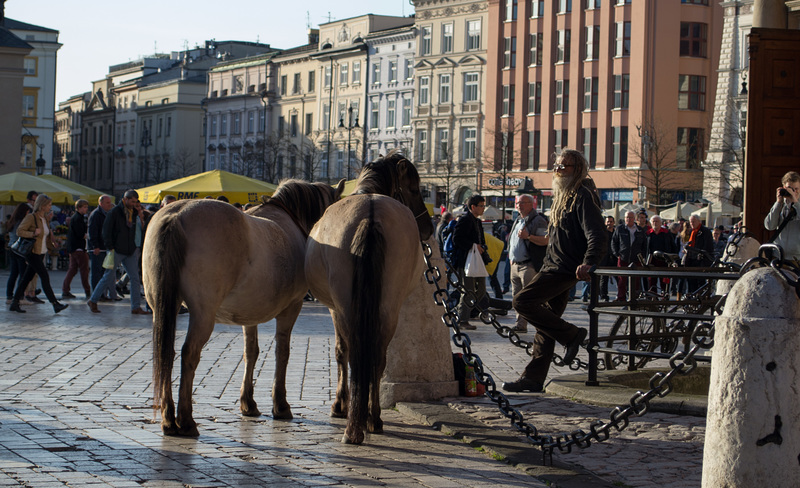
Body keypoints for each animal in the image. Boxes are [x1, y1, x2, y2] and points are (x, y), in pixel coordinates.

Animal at [147, 178, 344, 434]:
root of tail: (177, 215)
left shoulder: (248, 315)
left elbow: (251, 352)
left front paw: (248, 403)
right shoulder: (292, 307)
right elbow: (282, 352)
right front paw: (280, 404)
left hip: (162, 308)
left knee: (166, 353)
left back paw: (169, 419)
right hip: (202, 314)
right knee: (189, 353)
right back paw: (186, 420)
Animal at [304, 152, 432, 442]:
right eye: (415, 189)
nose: (429, 227)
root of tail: (370, 215)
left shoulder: (333, 309)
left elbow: (341, 352)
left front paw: (340, 405)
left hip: (345, 307)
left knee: (354, 353)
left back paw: (361, 421)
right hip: (388, 308)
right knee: (377, 357)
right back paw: (371, 418)